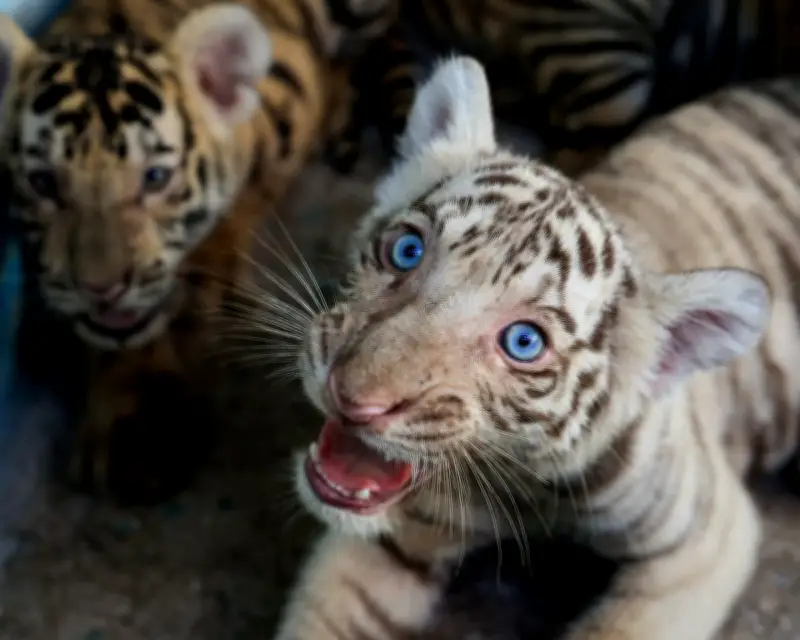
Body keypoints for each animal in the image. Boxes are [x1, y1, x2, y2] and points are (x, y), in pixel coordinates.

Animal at [271, 55, 800, 640]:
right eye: (407, 250)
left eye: (524, 342)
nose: (350, 399)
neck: (520, 484)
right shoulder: (392, 538)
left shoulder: (703, 542)